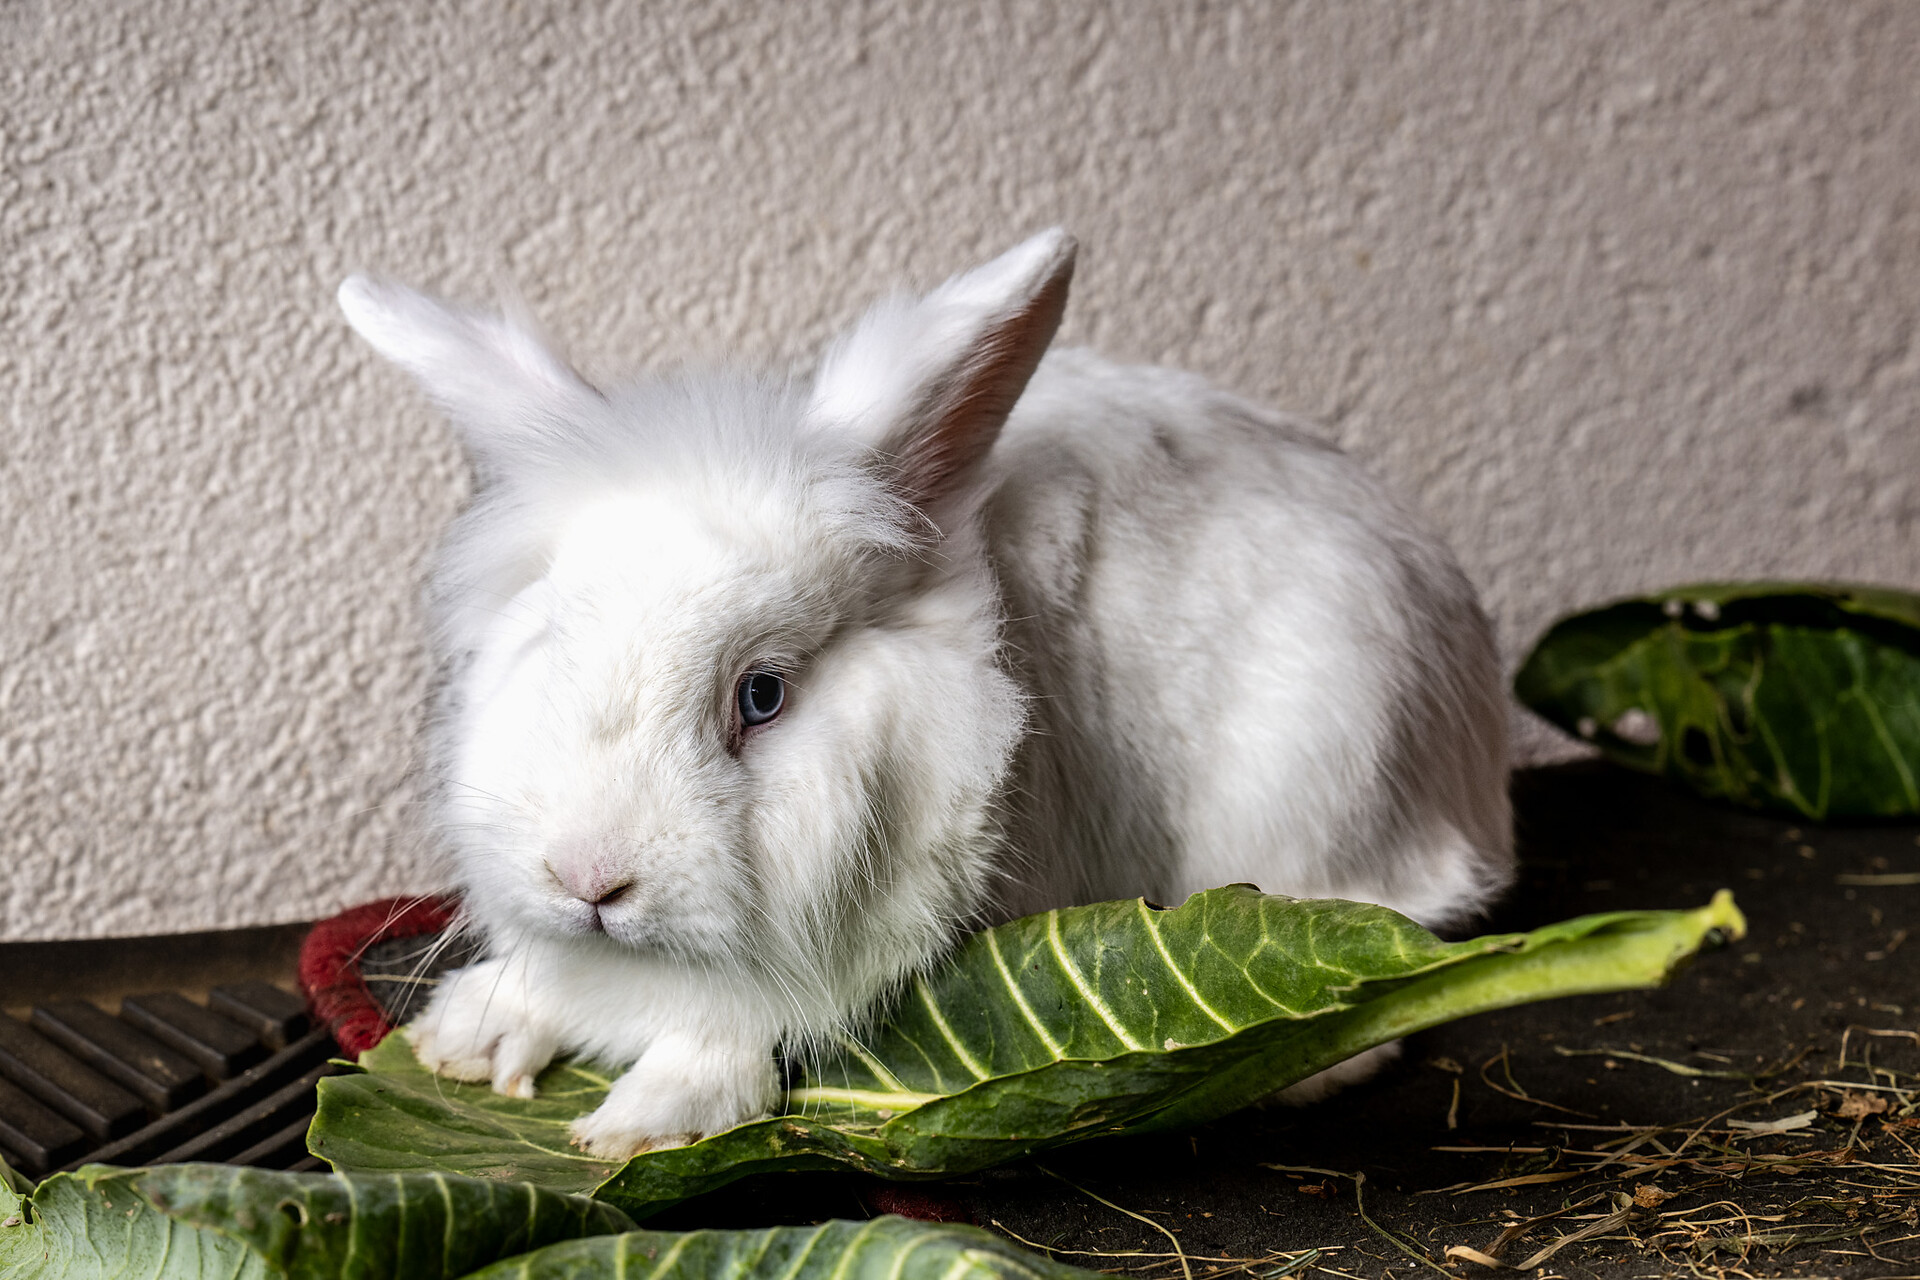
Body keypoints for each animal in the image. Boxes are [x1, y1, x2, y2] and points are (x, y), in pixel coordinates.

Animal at [336, 229, 1512, 1158]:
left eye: (763, 695)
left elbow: (726, 1031)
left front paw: (642, 1120)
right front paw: (465, 1040)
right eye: (553, 644)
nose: (590, 879)